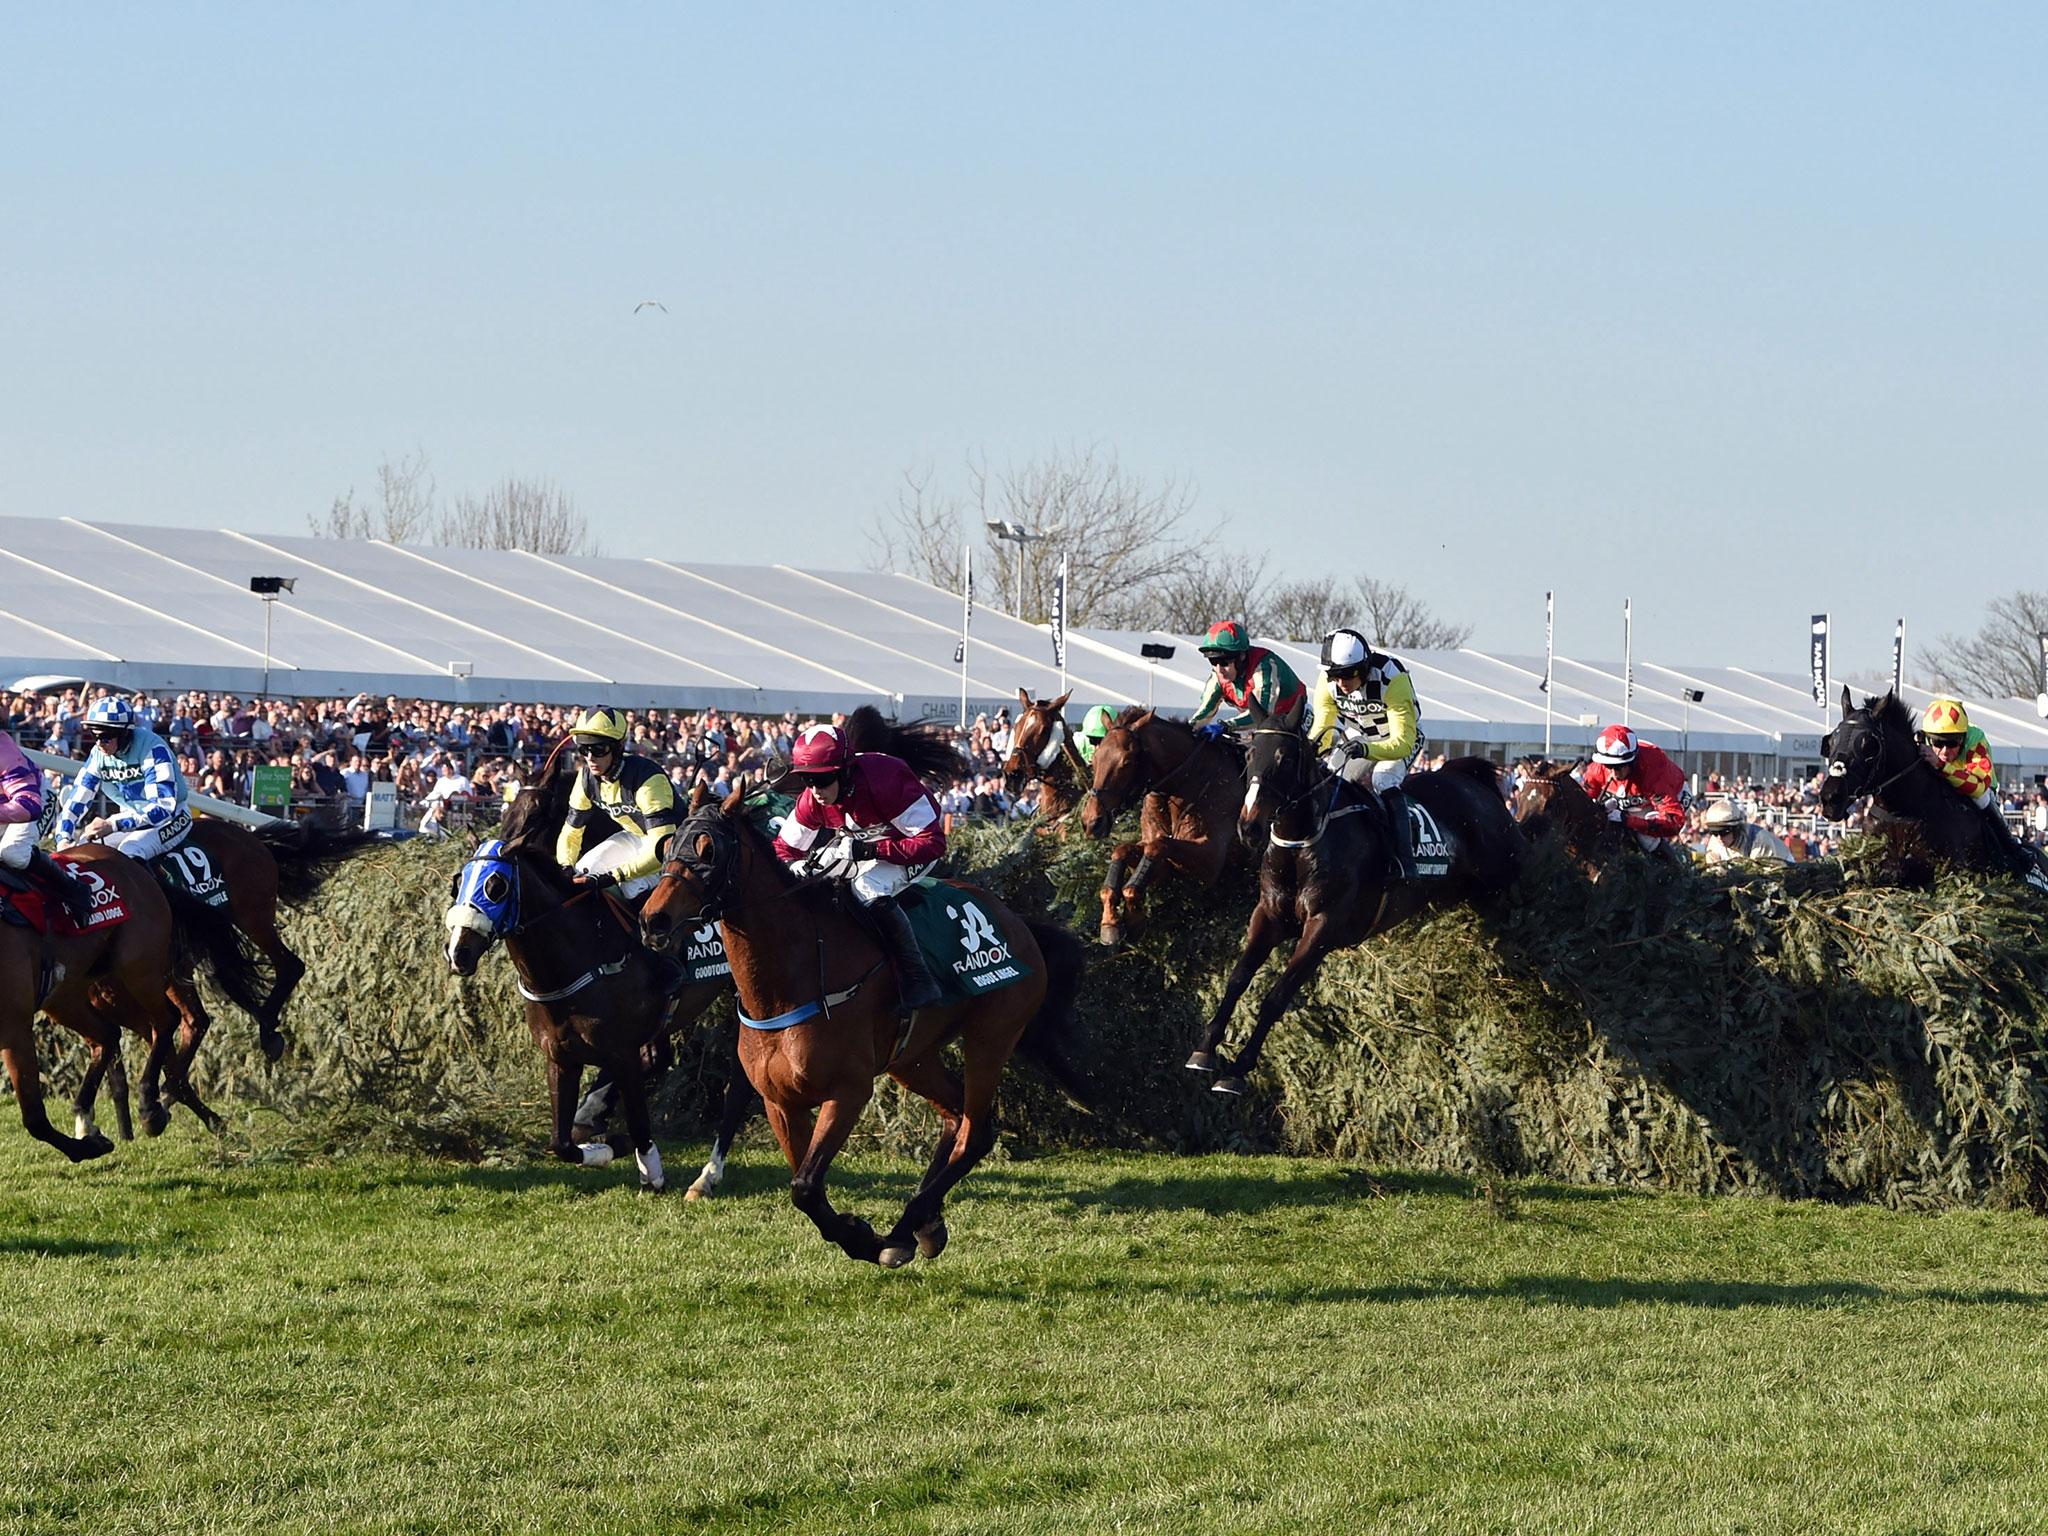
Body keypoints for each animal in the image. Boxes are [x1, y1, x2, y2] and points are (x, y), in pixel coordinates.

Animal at [643, 794, 1097, 1277]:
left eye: (709, 850)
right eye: (668, 846)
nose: (654, 920)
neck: (789, 983)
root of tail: (1017, 920)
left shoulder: (848, 1092)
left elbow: (805, 1186)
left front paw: (864, 1238)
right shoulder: (780, 1102)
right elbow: (806, 1186)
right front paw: (861, 1233)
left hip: (991, 1036)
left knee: (975, 1131)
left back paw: (909, 1224)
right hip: (911, 1059)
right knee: (955, 1118)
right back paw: (918, 1226)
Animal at [1073, 708, 1245, 950]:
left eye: (1127, 762)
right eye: (1094, 760)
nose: (1091, 822)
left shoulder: (1210, 862)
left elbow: (1157, 846)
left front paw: (1133, 917)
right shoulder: (1167, 866)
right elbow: (1123, 850)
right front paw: (1110, 921)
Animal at [1187, 704, 1523, 1097]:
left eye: (1285, 758)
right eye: (1251, 753)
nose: (1249, 827)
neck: (1304, 842)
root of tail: (1478, 786)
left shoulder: (1322, 927)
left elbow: (1277, 996)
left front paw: (1238, 1069)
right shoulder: (1269, 915)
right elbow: (1238, 977)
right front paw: (1205, 1049)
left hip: (1501, 883)